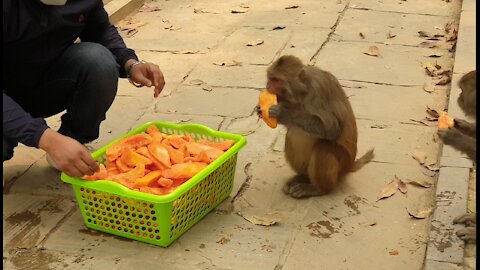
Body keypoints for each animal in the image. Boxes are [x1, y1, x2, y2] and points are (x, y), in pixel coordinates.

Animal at [262, 54, 376, 198]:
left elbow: (332, 129)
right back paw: (303, 177)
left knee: (323, 146)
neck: (303, 92)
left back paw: (318, 189)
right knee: (292, 134)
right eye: (270, 78)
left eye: (276, 80)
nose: (267, 85)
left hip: (342, 165)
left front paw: (283, 113)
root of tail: (349, 166)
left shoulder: (318, 92)